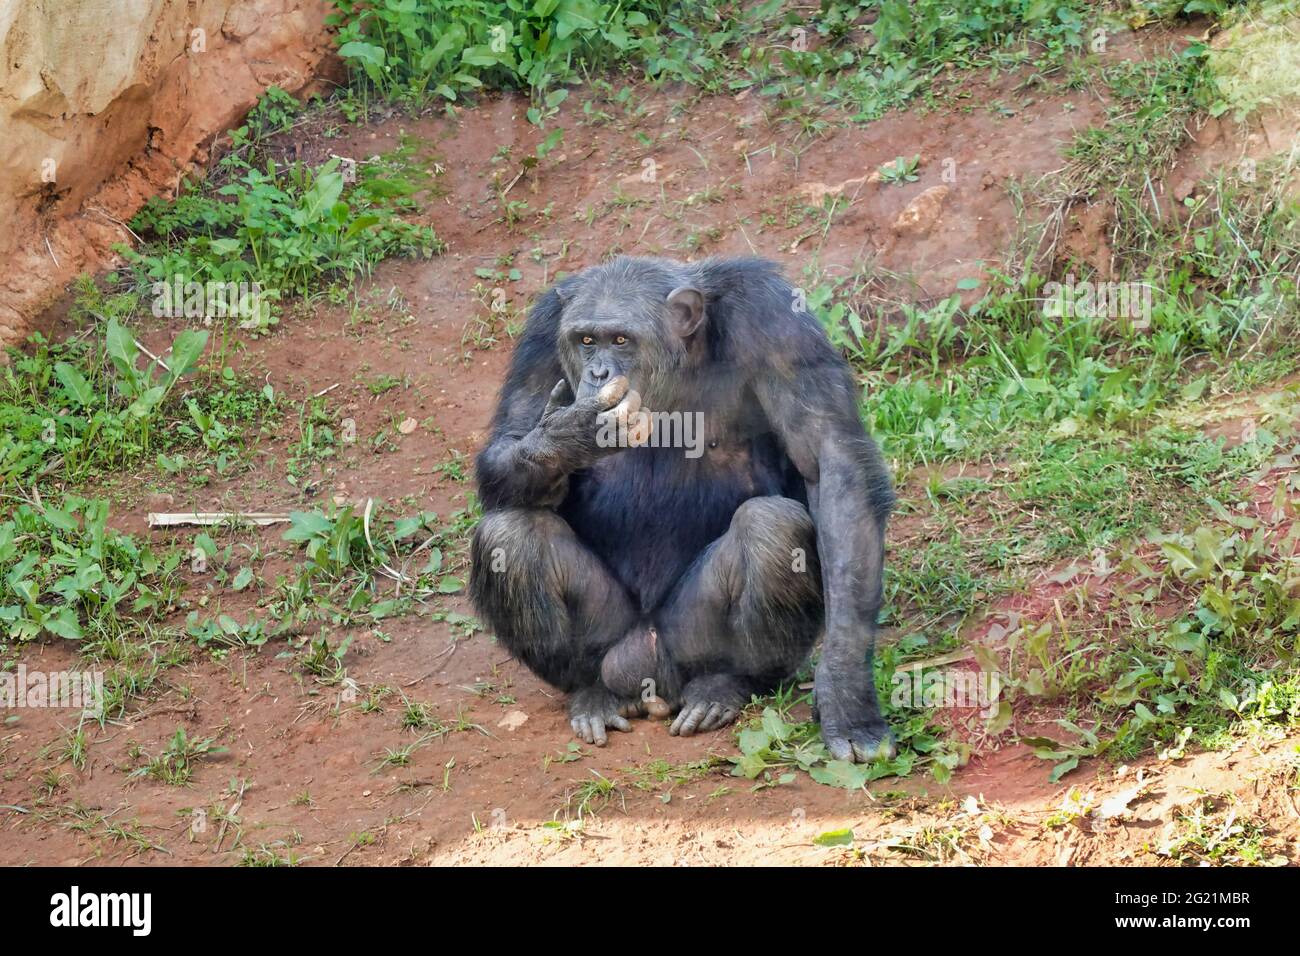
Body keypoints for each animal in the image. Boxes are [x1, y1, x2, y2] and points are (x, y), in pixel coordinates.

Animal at [473, 254, 899, 764]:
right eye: (586, 340)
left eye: (621, 340)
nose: (598, 373)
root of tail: (651, 681)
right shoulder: (541, 335)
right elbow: (511, 439)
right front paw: (566, 436)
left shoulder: (778, 323)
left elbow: (831, 464)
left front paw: (845, 693)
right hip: (614, 641)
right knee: (511, 535)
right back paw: (592, 693)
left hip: (688, 641)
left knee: (770, 527)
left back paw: (725, 686)